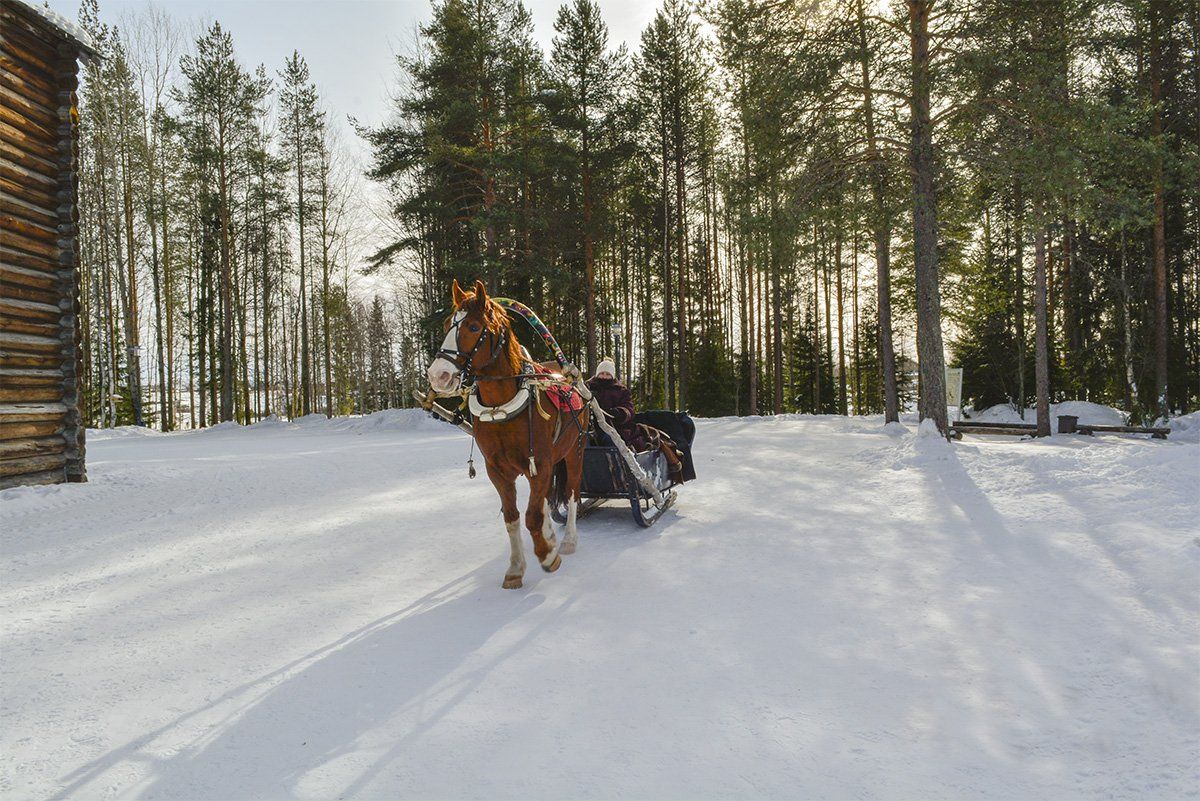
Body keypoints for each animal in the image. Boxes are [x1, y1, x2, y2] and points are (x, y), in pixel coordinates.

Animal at [427, 280, 590, 587]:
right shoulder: (498, 470)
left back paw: (568, 541)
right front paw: (517, 566)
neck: (501, 409)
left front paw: (547, 556)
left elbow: (532, 516)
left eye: (474, 327)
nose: (438, 375)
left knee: (572, 491)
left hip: (575, 450)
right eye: (445, 324)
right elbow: (513, 517)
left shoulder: (541, 462)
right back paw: (551, 536)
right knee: (545, 499)